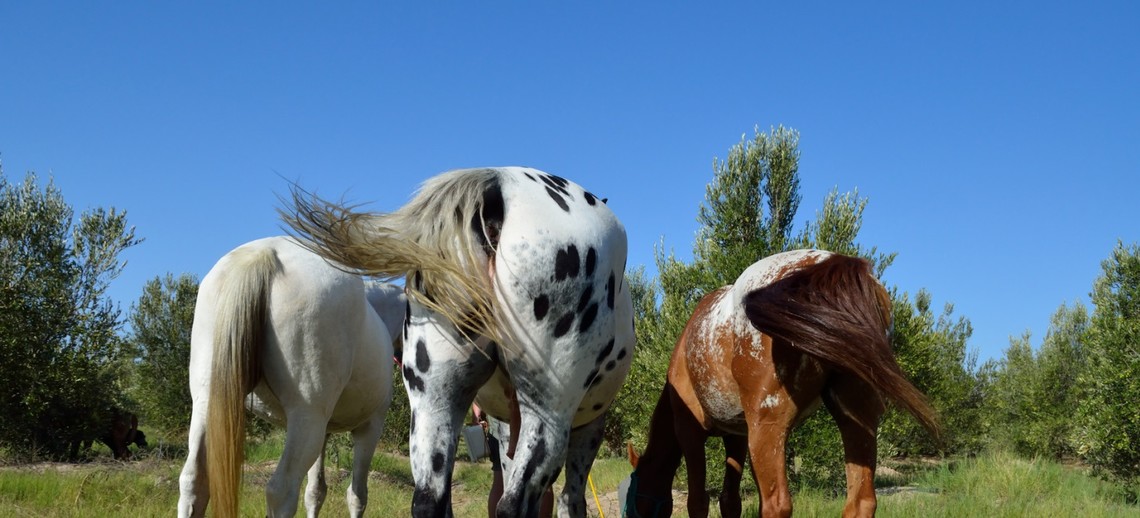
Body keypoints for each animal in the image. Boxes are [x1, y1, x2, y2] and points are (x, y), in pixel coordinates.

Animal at [175, 237, 403, 518]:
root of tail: (264, 254)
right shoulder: (369, 428)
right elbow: (357, 495)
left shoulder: (325, 433)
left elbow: (315, 492)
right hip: (307, 419)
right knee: (281, 490)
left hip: (207, 404)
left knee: (193, 482)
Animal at [285, 167, 638, 515]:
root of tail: (497, 186)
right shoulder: (587, 430)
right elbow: (569, 500)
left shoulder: (505, 427)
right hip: (548, 410)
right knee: (514, 504)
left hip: (436, 404)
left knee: (430, 500)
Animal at [629, 248, 939, 515]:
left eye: (635, 495)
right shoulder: (737, 436)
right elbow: (730, 500)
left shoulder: (690, 431)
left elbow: (698, 501)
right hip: (858, 417)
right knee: (861, 501)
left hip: (768, 427)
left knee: (776, 504)